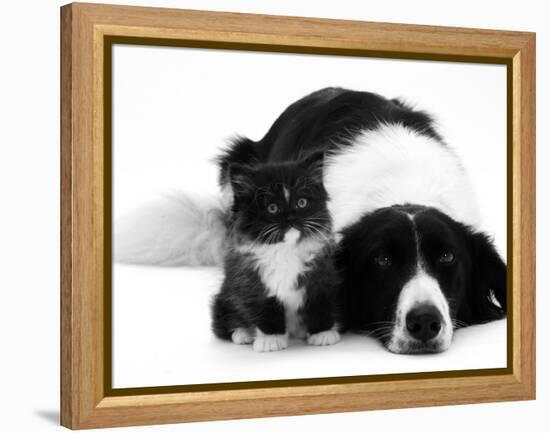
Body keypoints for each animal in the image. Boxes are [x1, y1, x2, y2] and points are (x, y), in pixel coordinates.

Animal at [213, 152, 342, 352]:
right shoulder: (251, 283)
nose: (291, 218)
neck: (285, 249)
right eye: (272, 208)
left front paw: (323, 334)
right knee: (224, 322)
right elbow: (266, 310)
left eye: (301, 203)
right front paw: (271, 340)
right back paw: (243, 333)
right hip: (224, 296)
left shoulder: (321, 276)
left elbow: (320, 304)